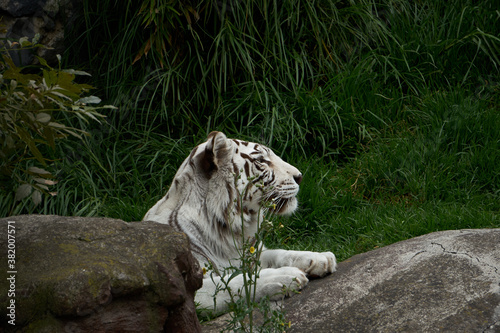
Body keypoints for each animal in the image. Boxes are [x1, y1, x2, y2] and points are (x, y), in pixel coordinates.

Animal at [143, 130, 338, 314]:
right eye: (262, 161)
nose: (300, 176)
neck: (227, 229)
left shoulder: (249, 253)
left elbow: (278, 253)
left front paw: (320, 258)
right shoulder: (190, 288)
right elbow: (235, 282)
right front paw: (285, 276)